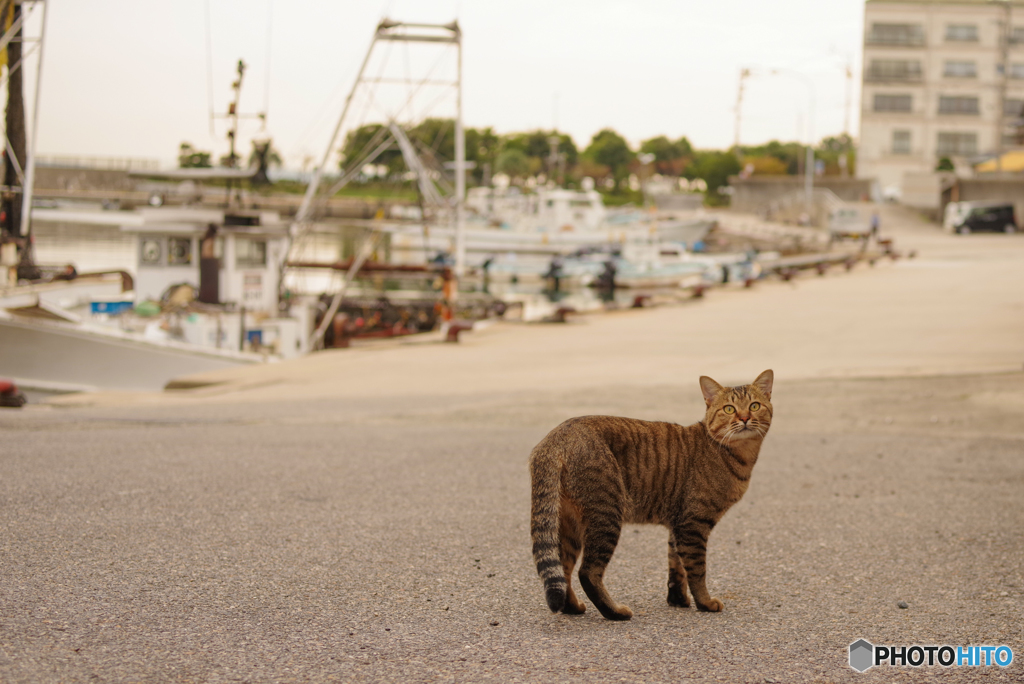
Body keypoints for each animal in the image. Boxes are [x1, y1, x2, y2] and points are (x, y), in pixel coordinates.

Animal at [532, 370, 770, 622]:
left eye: (754, 406)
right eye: (729, 409)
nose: (744, 417)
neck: (737, 456)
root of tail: (557, 436)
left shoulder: (678, 524)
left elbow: (676, 565)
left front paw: (678, 600)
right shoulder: (693, 524)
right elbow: (697, 569)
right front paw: (705, 602)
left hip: (570, 523)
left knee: (563, 567)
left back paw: (572, 607)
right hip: (606, 514)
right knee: (587, 572)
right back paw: (614, 612)